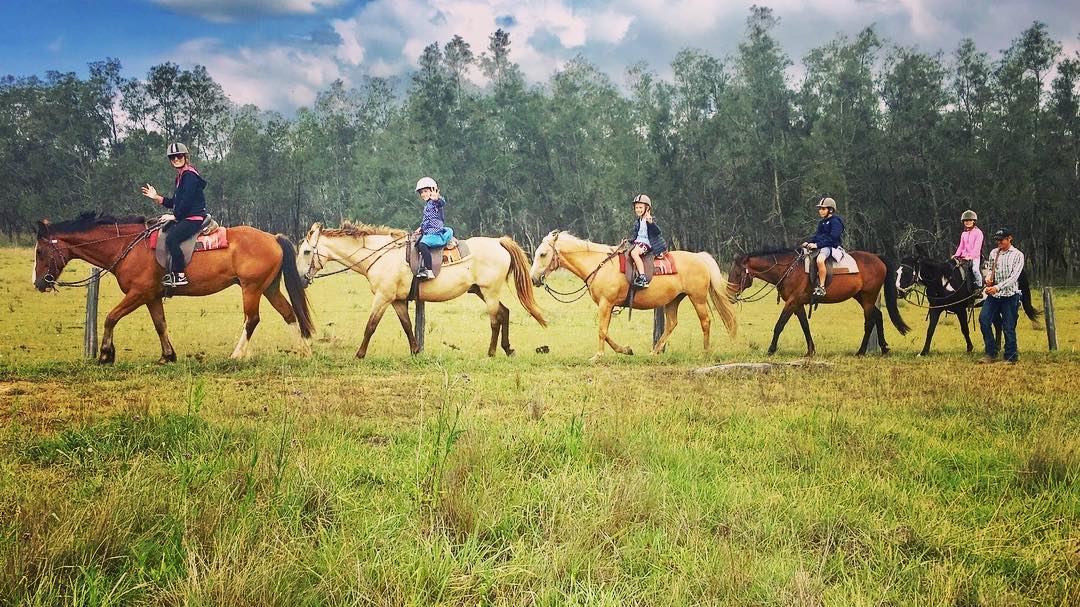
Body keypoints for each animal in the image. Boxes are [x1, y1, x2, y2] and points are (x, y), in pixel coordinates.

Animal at [33, 210, 313, 360]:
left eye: (40, 252)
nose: (38, 283)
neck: (128, 246)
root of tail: (272, 238)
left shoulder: (138, 293)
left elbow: (111, 317)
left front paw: (105, 354)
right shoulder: (152, 296)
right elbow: (160, 324)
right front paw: (168, 355)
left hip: (251, 288)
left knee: (252, 319)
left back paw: (236, 355)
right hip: (269, 287)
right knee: (289, 313)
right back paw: (303, 351)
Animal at [298, 221, 544, 354]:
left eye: (307, 251)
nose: (300, 279)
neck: (381, 255)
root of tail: (498, 242)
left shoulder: (383, 297)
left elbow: (370, 326)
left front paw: (359, 354)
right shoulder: (397, 300)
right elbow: (407, 326)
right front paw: (416, 351)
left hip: (489, 292)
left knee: (494, 320)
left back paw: (492, 352)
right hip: (481, 291)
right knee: (504, 313)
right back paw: (507, 349)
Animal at [529, 228, 738, 356]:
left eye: (543, 254)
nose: (533, 278)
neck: (599, 265)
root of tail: (700, 258)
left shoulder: (605, 303)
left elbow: (601, 330)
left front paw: (598, 356)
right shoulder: (608, 305)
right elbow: (605, 331)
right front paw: (626, 350)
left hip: (698, 298)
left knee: (705, 321)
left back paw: (705, 351)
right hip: (674, 300)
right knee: (671, 324)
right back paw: (654, 352)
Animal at [725, 248, 911, 356]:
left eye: (737, 273)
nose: (729, 295)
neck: (789, 269)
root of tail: (877, 258)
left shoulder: (791, 303)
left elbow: (779, 325)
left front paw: (771, 350)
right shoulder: (798, 304)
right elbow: (805, 326)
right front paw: (810, 351)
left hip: (868, 296)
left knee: (870, 321)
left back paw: (861, 351)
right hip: (862, 297)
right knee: (878, 316)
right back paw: (884, 348)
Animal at [894, 246, 1036, 354]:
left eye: (906, 272)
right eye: (897, 272)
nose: (898, 292)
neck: (944, 280)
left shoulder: (960, 309)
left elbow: (964, 329)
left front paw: (969, 348)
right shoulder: (935, 309)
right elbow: (930, 330)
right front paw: (924, 351)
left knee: (1009, 322)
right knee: (998, 324)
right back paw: (996, 347)